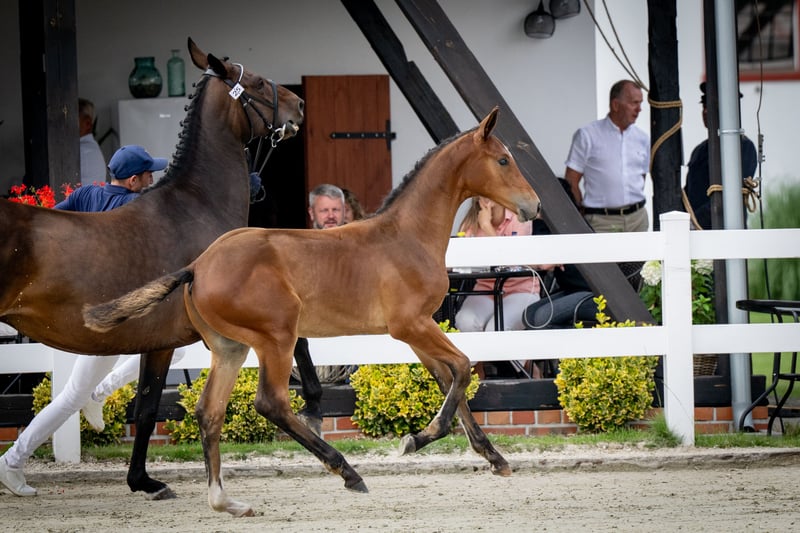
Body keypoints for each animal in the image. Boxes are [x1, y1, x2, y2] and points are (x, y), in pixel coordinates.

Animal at [0, 37, 304, 499]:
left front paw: (138, 478)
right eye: (254, 81)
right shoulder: (172, 339)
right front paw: (145, 481)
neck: (193, 206)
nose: (299, 105)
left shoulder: (156, 338)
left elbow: (144, 404)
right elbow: (148, 408)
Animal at [83, 107, 541, 517]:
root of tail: (197, 266)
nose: (534, 206)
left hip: (230, 347)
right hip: (277, 338)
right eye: (503, 160)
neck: (406, 236)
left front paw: (493, 457)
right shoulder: (410, 326)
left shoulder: (418, 330)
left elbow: (450, 379)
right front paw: (418, 438)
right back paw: (346, 471)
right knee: (271, 403)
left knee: (209, 412)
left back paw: (225, 501)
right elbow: (462, 369)